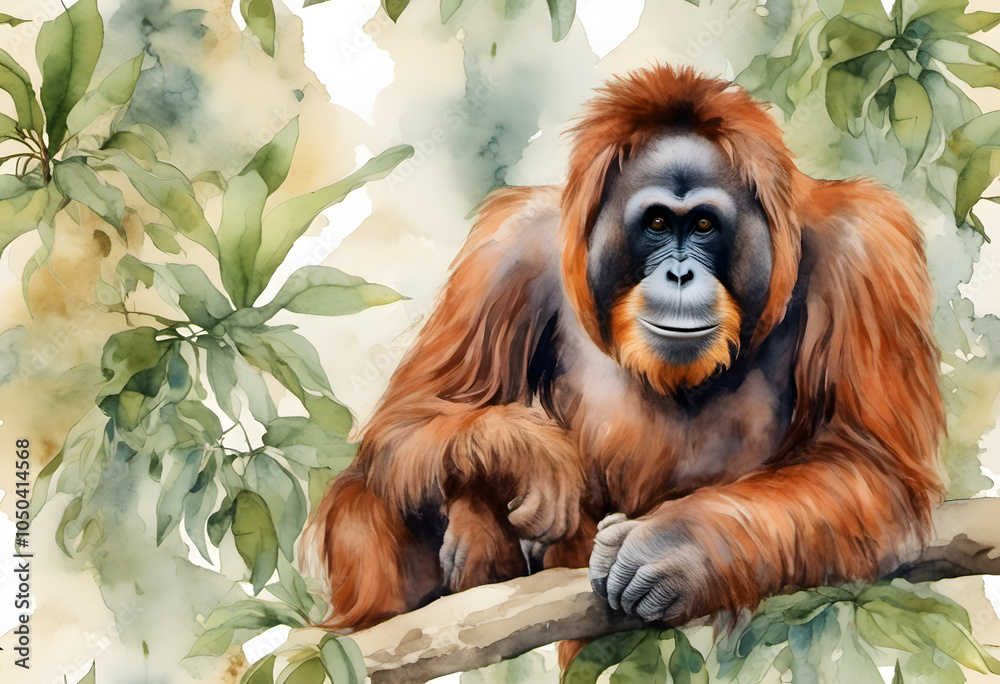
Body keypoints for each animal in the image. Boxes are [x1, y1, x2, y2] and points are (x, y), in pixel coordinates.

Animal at [308, 65, 944, 655]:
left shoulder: (866, 248)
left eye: (704, 224)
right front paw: (531, 457)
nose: (680, 275)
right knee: (371, 486)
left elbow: (871, 466)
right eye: (658, 222)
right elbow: (411, 417)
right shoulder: (506, 247)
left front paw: (671, 549)